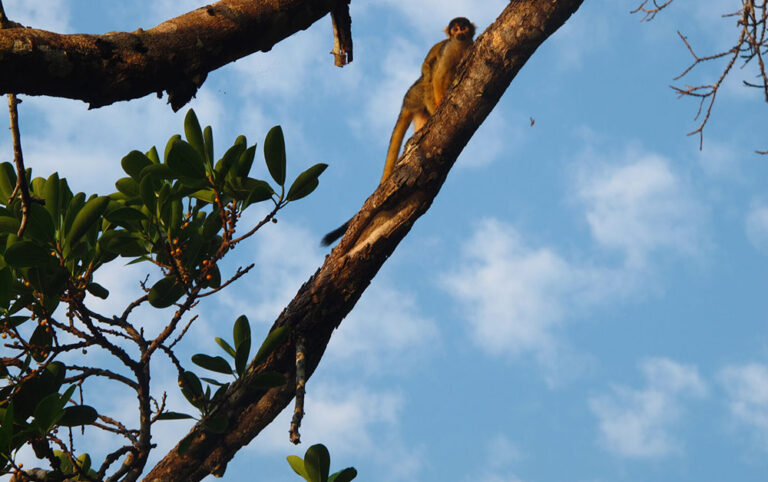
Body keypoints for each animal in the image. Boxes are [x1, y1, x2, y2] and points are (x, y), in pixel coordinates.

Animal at [321, 17, 475, 247]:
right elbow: (438, 76)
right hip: (418, 94)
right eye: (455, 29)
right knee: (429, 80)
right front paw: (440, 100)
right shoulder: (449, 50)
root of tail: (406, 101)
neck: (461, 46)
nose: (459, 33)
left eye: (463, 28)